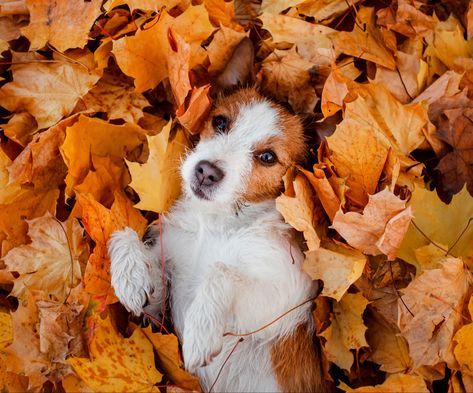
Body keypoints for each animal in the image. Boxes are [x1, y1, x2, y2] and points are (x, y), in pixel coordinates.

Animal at [108, 37, 330, 392]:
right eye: (221, 122)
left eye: (268, 157)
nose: (206, 171)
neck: (216, 223)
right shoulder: (160, 304)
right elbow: (124, 234)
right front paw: (130, 277)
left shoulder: (285, 303)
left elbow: (222, 270)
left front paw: (201, 329)